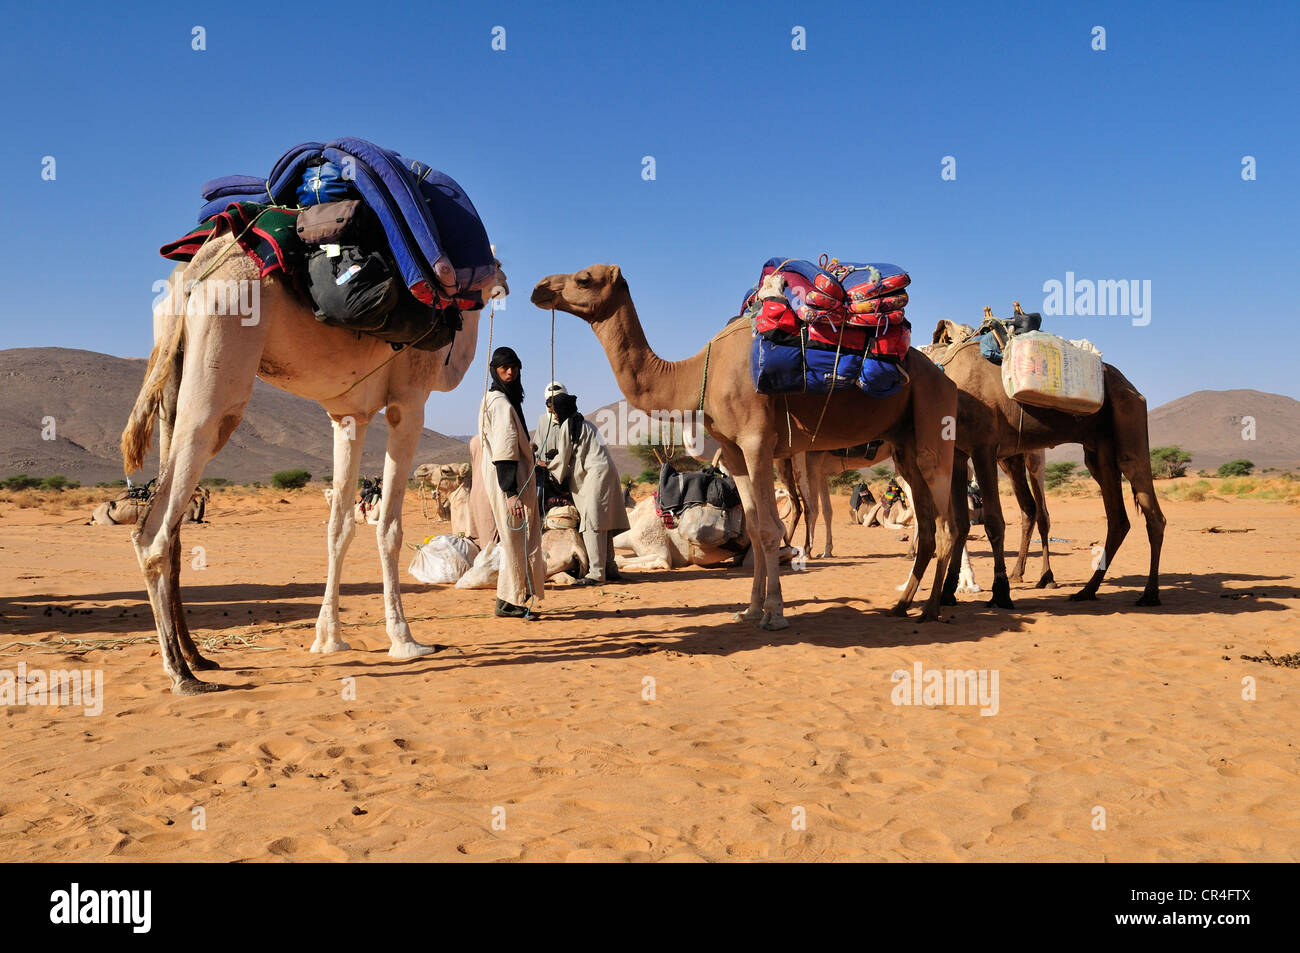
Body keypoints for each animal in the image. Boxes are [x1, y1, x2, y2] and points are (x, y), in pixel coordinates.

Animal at [525, 263, 956, 629]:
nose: (539, 287)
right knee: (927, 523)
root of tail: (945, 378)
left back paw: (931, 609)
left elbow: (767, 528)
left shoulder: (756, 441)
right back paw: (902, 604)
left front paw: (775, 614)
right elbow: (751, 523)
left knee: (947, 522)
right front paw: (750, 610)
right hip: (903, 444)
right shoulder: (733, 451)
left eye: (584, 278)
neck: (696, 375)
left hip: (934, 427)